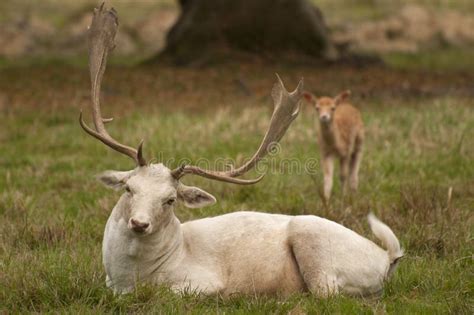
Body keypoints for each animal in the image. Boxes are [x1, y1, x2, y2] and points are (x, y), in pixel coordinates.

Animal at [81, 6, 404, 300]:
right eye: (128, 188)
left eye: (170, 200)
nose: (139, 223)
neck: (128, 280)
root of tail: (386, 258)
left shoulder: (202, 281)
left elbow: (171, 293)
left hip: (313, 242)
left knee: (325, 292)